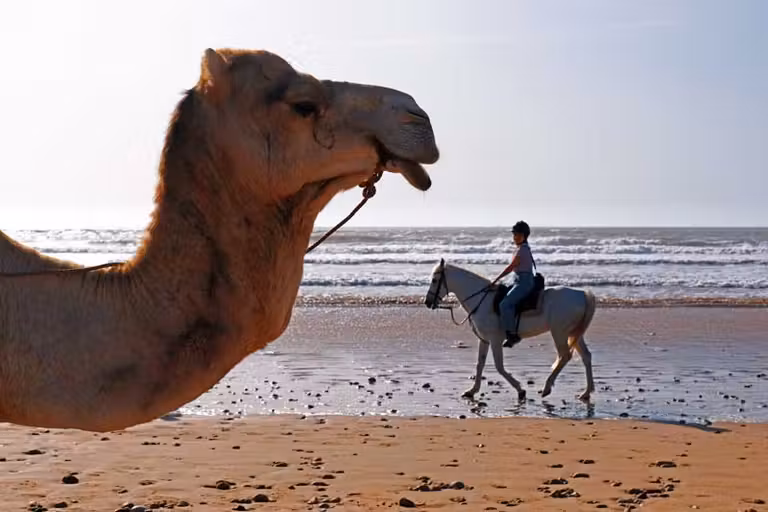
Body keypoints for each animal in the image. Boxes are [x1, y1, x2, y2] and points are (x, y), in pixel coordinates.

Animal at [423, 258, 596, 402]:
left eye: (435, 280)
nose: (427, 302)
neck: (483, 301)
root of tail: (582, 294)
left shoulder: (495, 340)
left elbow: (499, 367)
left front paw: (520, 390)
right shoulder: (484, 340)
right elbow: (480, 364)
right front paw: (472, 391)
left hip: (559, 332)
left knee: (564, 356)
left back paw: (547, 388)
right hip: (573, 333)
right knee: (586, 357)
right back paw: (586, 393)